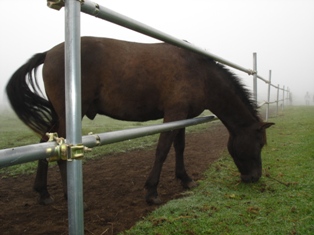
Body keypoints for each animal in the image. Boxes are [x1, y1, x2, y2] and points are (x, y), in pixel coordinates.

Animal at [6, 36, 274, 204]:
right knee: (61, 150)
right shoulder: (174, 114)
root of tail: (49, 53)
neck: (200, 73)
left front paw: (185, 179)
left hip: (58, 115)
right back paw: (67, 194)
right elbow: (163, 149)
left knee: (46, 141)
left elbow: (179, 147)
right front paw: (152, 191)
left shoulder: (183, 116)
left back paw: (43, 193)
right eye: (259, 144)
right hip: (68, 114)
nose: (254, 177)